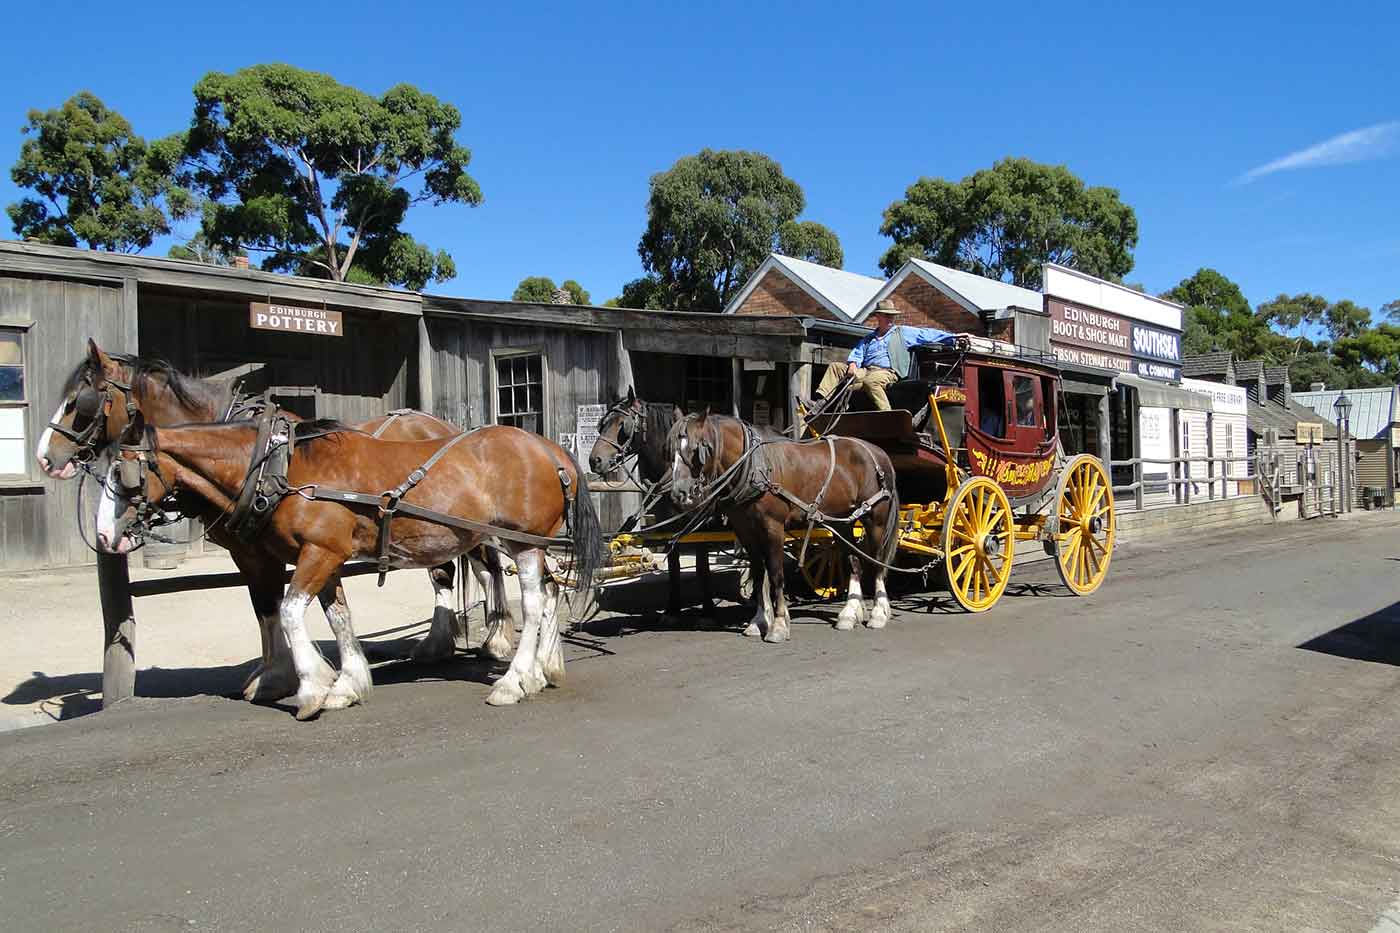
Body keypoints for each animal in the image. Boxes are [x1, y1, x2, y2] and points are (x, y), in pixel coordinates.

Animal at [39, 341, 520, 706]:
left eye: (80, 399)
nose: (46, 457)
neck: (256, 459)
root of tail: (439, 424)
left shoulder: (260, 550)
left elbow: (274, 606)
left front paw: (291, 677)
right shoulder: (253, 551)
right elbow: (267, 609)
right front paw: (293, 675)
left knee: (479, 567)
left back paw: (491, 637)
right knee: (456, 570)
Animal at [91, 411, 607, 711]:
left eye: (123, 474)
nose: (102, 536)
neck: (284, 471)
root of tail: (552, 449)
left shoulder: (318, 553)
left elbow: (291, 613)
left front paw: (312, 688)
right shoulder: (327, 557)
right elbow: (337, 617)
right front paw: (347, 682)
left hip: (524, 542)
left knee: (536, 604)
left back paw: (515, 680)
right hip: (521, 544)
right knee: (549, 595)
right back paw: (541, 670)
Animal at [663, 411, 896, 644]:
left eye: (697, 450)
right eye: (670, 451)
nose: (679, 495)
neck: (755, 466)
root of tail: (878, 452)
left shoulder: (773, 526)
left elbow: (775, 574)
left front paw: (779, 625)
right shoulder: (745, 530)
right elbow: (759, 575)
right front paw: (758, 621)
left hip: (875, 519)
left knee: (877, 562)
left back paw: (878, 613)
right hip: (841, 520)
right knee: (854, 561)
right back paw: (849, 613)